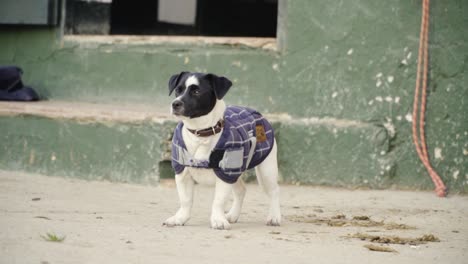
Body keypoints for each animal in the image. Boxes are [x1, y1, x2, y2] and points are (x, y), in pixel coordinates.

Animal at [164, 71, 282, 229]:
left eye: (196, 91)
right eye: (178, 90)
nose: (175, 103)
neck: (201, 132)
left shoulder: (225, 174)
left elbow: (218, 201)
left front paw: (217, 220)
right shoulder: (182, 173)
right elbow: (185, 200)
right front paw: (180, 218)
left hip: (266, 171)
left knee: (274, 191)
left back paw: (274, 216)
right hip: (237, 171)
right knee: (241, 191)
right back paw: (232, 215)